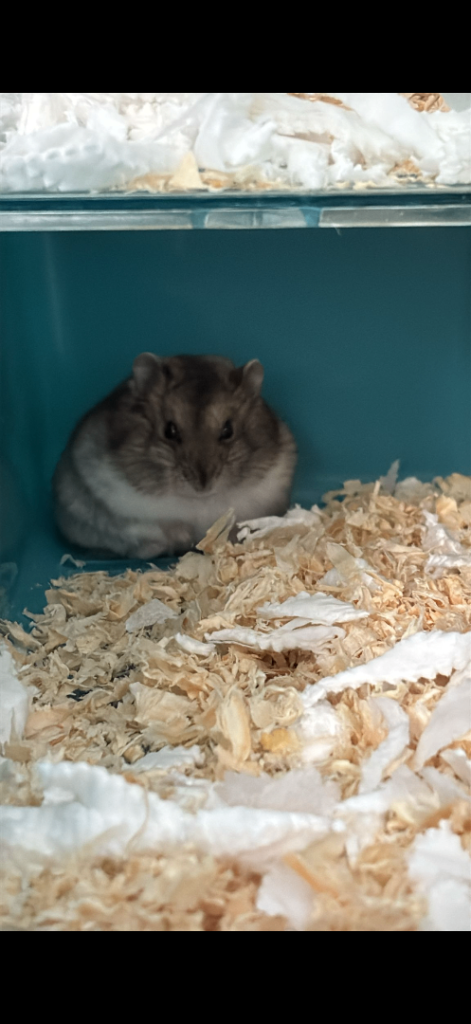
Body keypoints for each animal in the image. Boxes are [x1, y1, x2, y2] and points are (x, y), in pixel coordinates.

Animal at [53, 353, 297, 559]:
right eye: (169, 431)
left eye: (228, 430)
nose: (202, 485)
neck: (198, 502)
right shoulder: (115, 495)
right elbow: (154, 525)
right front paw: (184, 536)